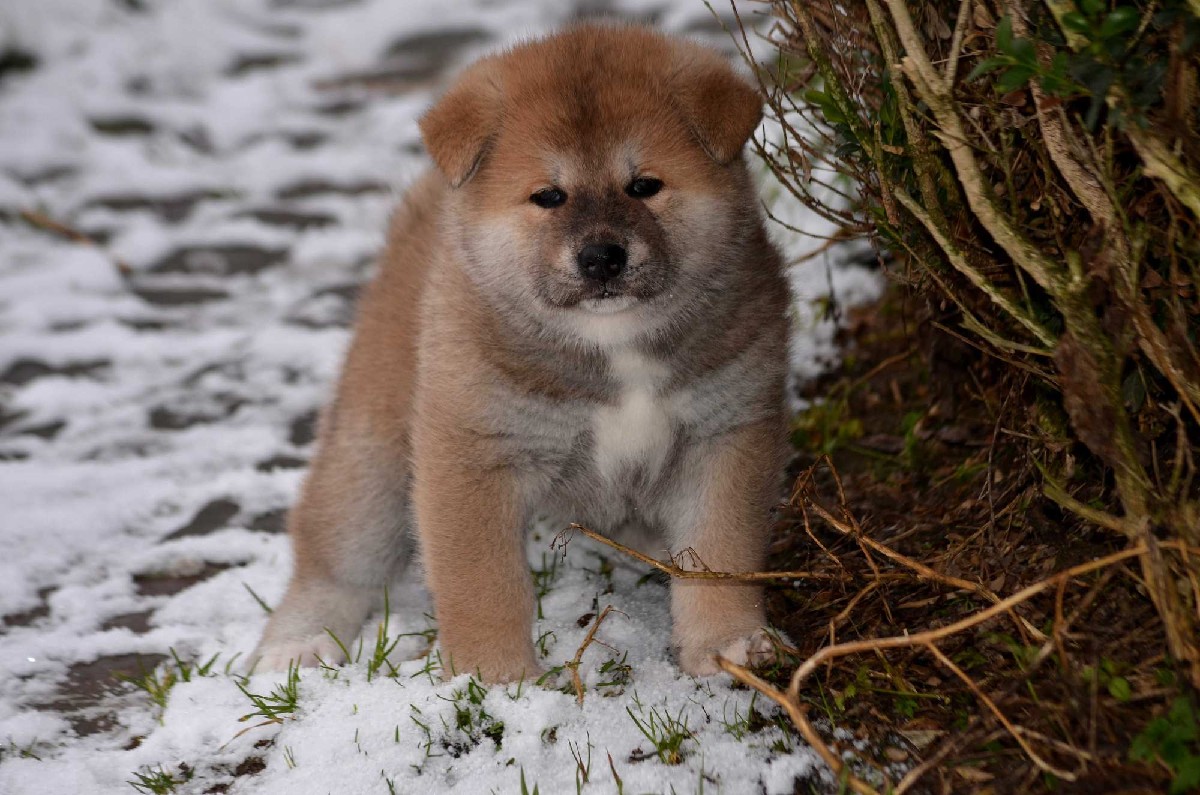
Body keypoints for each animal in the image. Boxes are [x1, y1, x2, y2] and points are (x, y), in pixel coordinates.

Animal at [252, 23, 791, 683]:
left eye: (644, 186)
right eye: (548, 197)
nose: (602, 257)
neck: (615, 350)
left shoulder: (727, 432)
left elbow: (720, 552)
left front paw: (726, 645)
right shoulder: (473, 455)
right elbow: (483, 583)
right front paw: (496, 680)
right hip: (370, 456)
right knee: (332, 559)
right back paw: (297, 645)